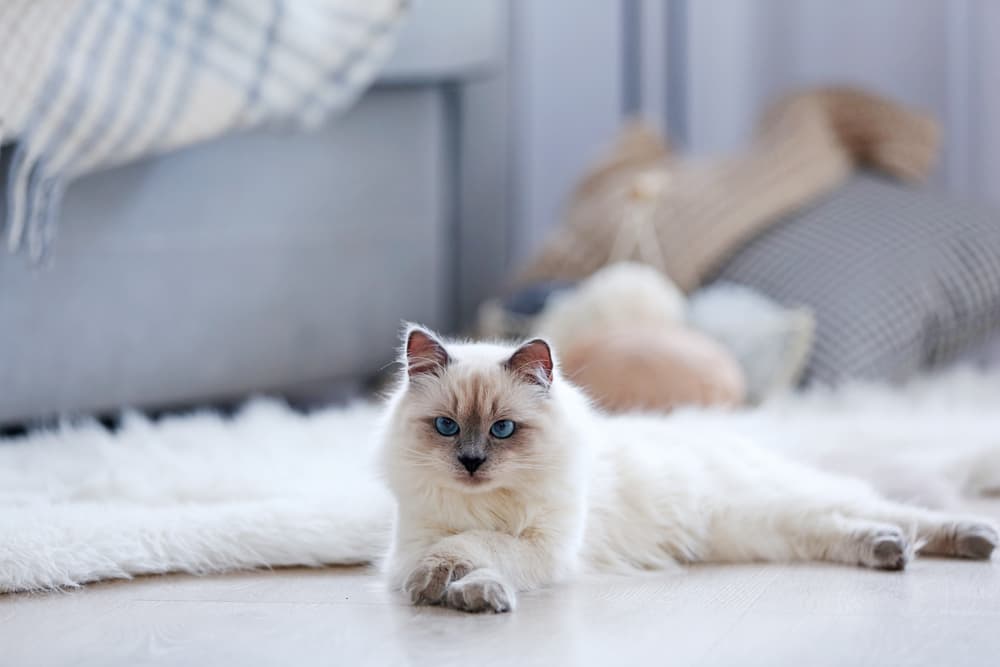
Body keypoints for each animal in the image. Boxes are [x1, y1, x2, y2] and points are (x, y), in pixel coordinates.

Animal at [376, 326, 1000, 612]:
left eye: (502, 430)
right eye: (447, 427)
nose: (471, 463)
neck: (486, 503)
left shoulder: (544, 548)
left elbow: (471, 548)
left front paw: (457, 589)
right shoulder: (417, 544)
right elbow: (460, 560)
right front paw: (464, 595)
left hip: (781, 506)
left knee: (899, 513)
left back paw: (973, 538)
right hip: (765, 532)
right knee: (848, 529)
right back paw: (889, 550)